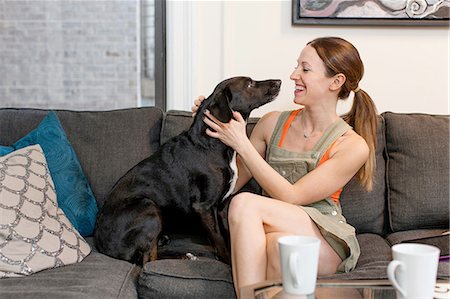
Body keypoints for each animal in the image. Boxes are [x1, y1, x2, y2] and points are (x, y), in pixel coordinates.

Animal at [93, 77, 280, 264]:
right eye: (250, 84)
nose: (278, 82)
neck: (210, 143)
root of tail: (101, 244)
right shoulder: (204, 207)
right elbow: (220, 240)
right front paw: (228, 262)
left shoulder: (221, 206)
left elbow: (227, 235)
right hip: (148, 206)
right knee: (148, 260)